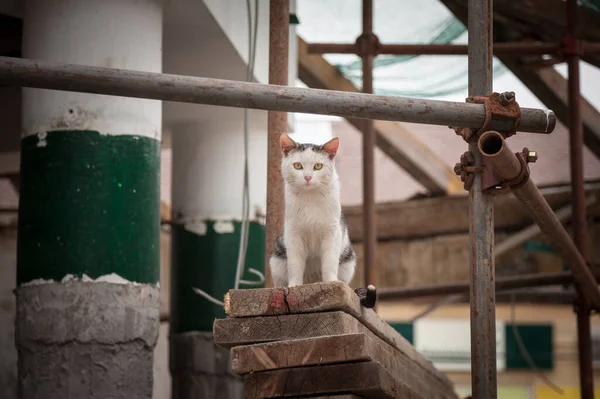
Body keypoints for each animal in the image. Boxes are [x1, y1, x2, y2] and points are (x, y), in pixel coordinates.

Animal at [270, 134, 356, 288]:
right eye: (297, 166)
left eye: (318, 166)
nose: (308, 177)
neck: (310, 197)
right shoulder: (293, 233)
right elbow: (295, 264)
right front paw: (294, 285)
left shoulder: (332, 232)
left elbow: (329, 261)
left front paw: (331, 281)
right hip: (276, 263)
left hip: (348, 264)